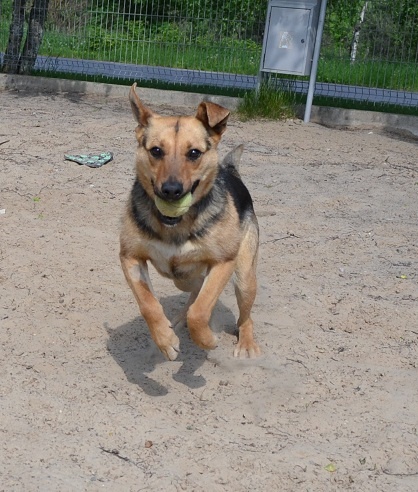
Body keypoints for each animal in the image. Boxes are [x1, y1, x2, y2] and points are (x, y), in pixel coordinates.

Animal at [120, 83, 260, 360]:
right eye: (156, 151)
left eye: (194, 153)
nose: (171, 191)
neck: (176, 226)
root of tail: (231, 170)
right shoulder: (130, 257)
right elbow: (148, 305)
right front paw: (165, 340)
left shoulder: (223, 262)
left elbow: (201, 311)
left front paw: (206, 339)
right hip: (181, 277)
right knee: (194, 290)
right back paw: (179, 319)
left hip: (244, 276)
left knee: (244, 315)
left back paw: (246, 342)